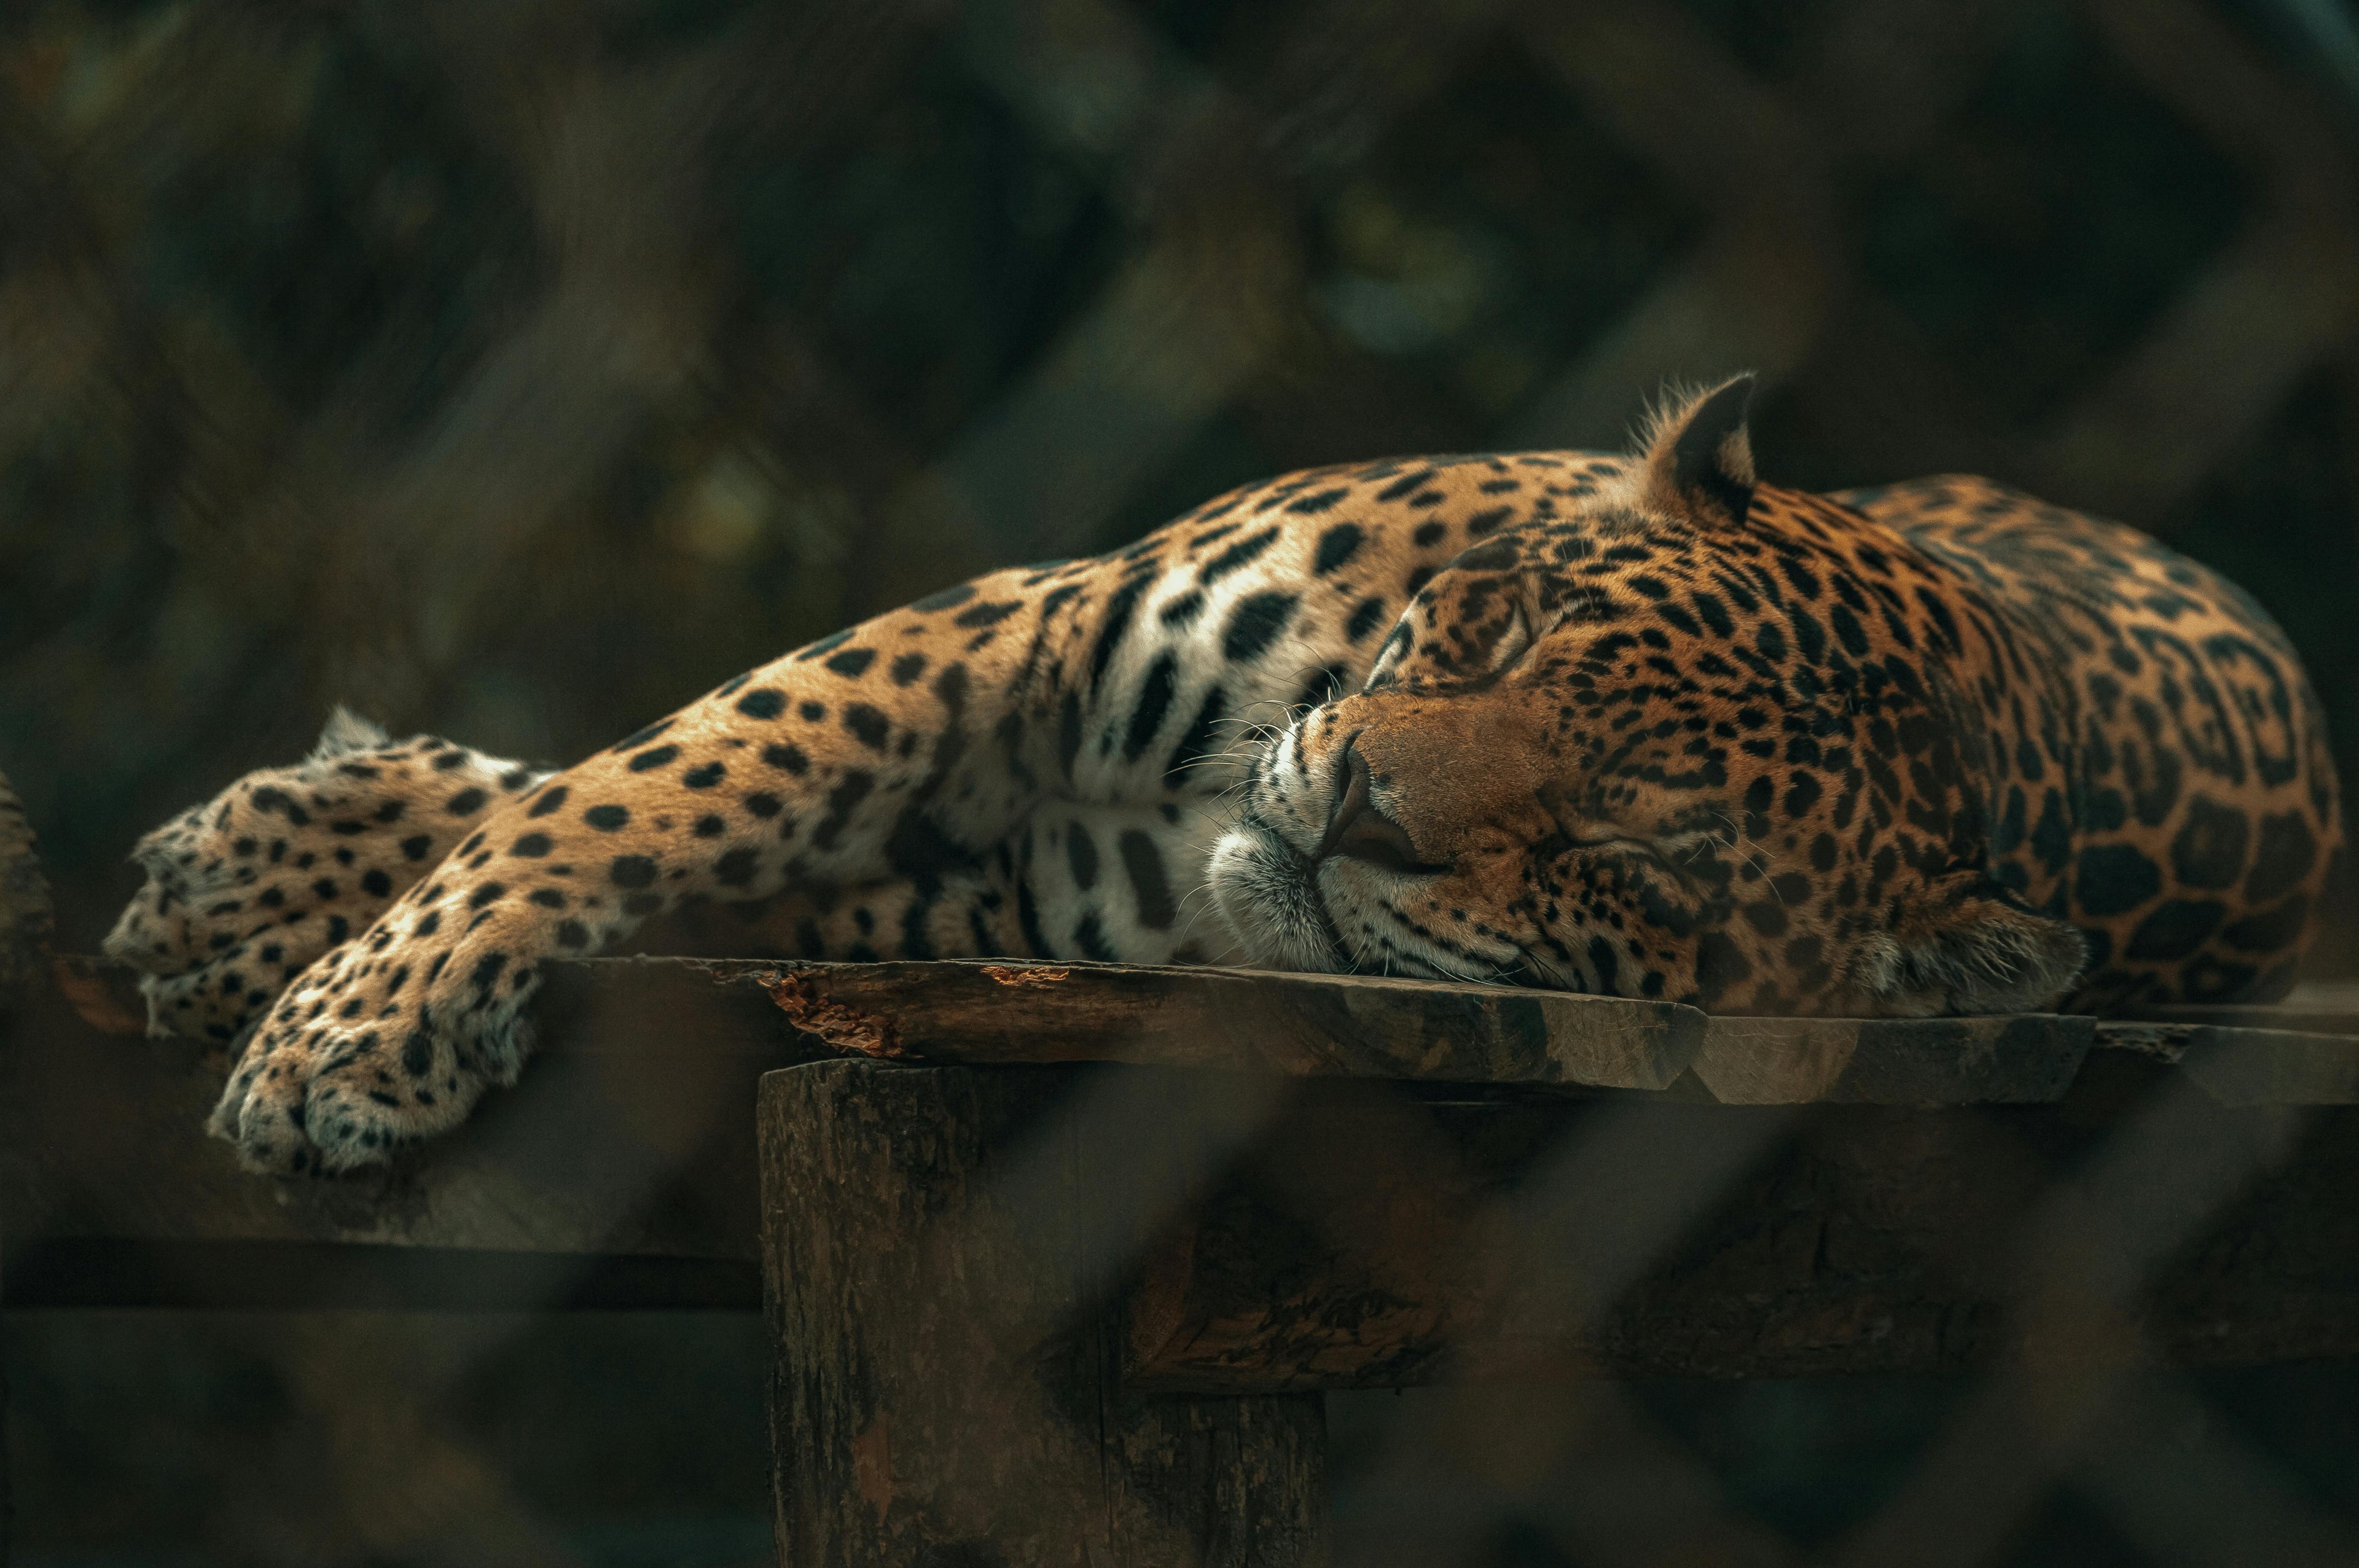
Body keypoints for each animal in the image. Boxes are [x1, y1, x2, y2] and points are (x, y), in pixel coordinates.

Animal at [105, 376, 2342, 1174]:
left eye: (1629, 860)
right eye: (1505, 633)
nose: (1349, 806)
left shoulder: (1006, 889)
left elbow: (691, 820)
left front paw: (340, 1004)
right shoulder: (1029, 627)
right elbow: (663, 776)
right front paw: (341, 1006)